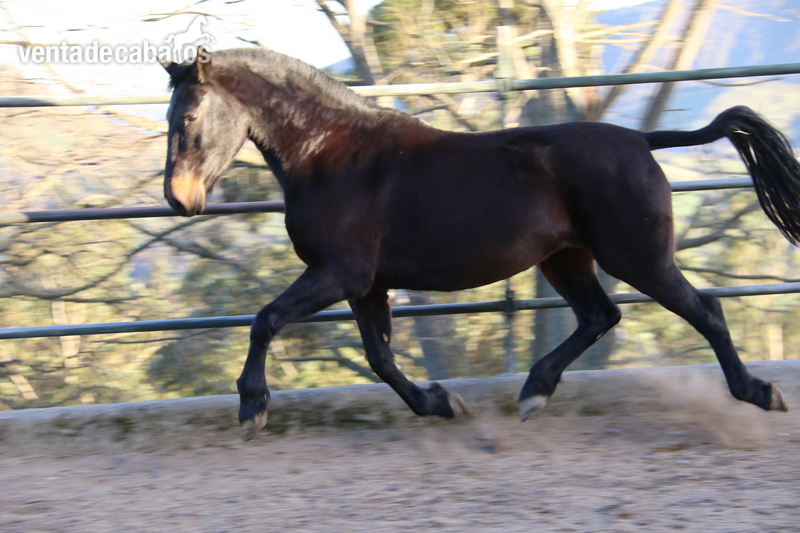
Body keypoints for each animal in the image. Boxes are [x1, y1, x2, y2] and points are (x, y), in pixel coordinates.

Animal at [160, 48, 799, 441]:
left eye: (187, 117)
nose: (178, 199)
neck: (333, 156)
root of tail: (643, 140)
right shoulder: (366, 285)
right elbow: (380, 358)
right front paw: (442, 404)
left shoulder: (338, 273)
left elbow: (265, 320)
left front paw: (251, 408)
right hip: (566, 261)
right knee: (600, 316)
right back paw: (534, 392)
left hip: (639, 258)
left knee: (704, 310)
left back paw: (759, 392)